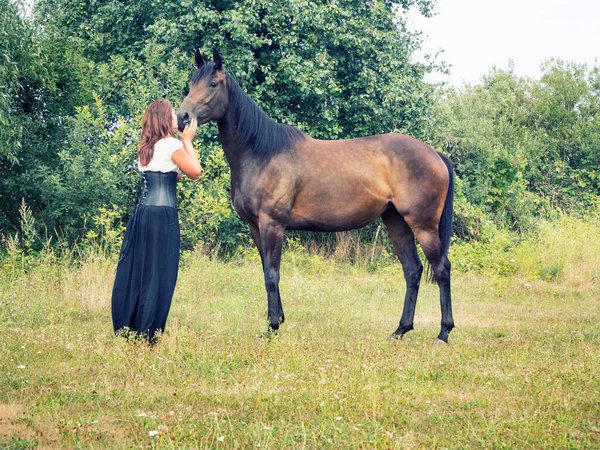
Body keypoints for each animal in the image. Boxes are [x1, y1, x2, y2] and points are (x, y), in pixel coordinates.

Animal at [178, 50, 454, 342]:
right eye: (192, 82)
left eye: (213, 84)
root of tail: (435, 154)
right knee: (412, 271)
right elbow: (267, 272)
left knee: (441, 269)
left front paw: (273, 327)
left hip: (423, 225)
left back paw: (443, 333)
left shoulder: (272, 225)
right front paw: (276, 321)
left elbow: (272, 275)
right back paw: (401, 330)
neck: (262, 153)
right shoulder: (255, 226)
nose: (182, 117)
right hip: (396, 222)